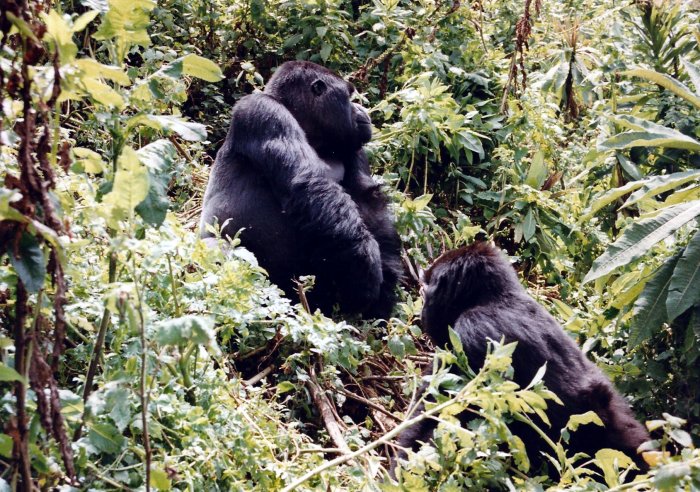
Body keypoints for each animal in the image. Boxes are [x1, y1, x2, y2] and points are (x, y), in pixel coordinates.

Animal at [200, 60, 402, 320]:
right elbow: (307, 182)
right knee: (219, 250)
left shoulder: (353, 145)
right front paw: (365, 269)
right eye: (349, 96)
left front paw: (385, 283)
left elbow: (368, 199)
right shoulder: (262, 110)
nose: (362, 110)